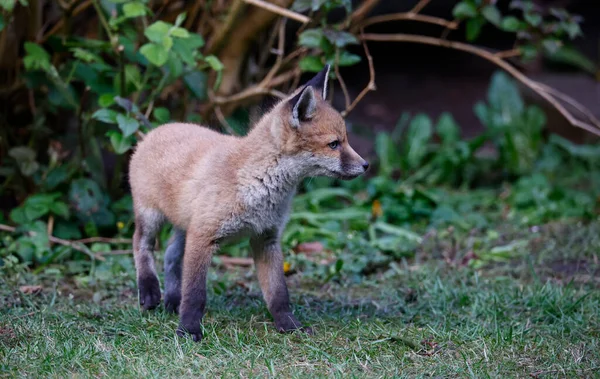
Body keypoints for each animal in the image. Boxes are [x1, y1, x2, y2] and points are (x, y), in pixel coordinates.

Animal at [129, 63, 368, 342]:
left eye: (346, 140)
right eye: (334, 144)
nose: (366, 165)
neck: (259, 184)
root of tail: (156, 130)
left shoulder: (266, 238)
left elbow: (278, 294)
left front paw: (289, 326)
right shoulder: (203, 236)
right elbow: (195, 294)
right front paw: (188, 330)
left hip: (184, 225)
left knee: (170, 255)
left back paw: (171, 300)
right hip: (151, 216)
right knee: (141, 245)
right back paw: (149, 291)